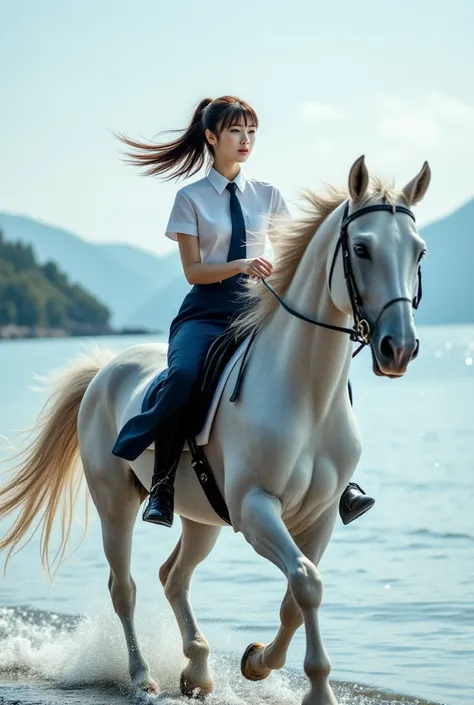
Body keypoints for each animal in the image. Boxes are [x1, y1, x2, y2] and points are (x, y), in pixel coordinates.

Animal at [0, 157, 430, 700]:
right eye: (361, 248)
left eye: (419, 251)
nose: (400, 348)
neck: (306, 395)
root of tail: (105, 369)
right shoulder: (255, 509)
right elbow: (306, 582)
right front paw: (312, 687)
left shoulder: (321, 516)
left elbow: (298, 594)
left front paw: (258, 662)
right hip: (114, 502)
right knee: (124, 587)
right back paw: (142, 676)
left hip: (200, 517)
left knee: (173, 576)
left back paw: (198, 669)